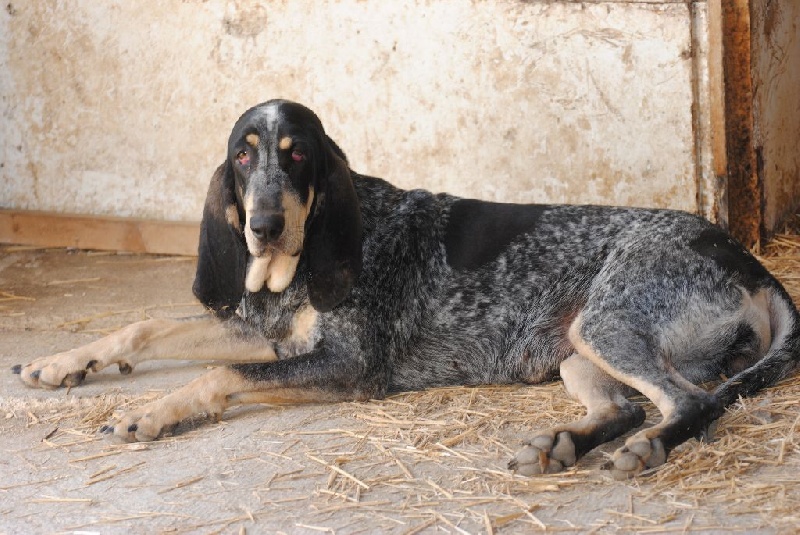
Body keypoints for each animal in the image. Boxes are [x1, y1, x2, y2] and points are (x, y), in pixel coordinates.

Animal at [14, 100, 800, 478]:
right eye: (243, 156)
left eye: (295, 156)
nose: (264, 225)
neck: (302, 266)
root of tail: (751, 263)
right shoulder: (270, 334)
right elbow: (145, 326)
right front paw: (62, 363)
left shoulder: (349, 366)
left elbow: (217, 373)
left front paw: (152, 412)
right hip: (575, 347)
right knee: (626, 408)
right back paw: (558, 447)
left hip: (607, 324)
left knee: (690, 403)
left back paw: (641, 451)